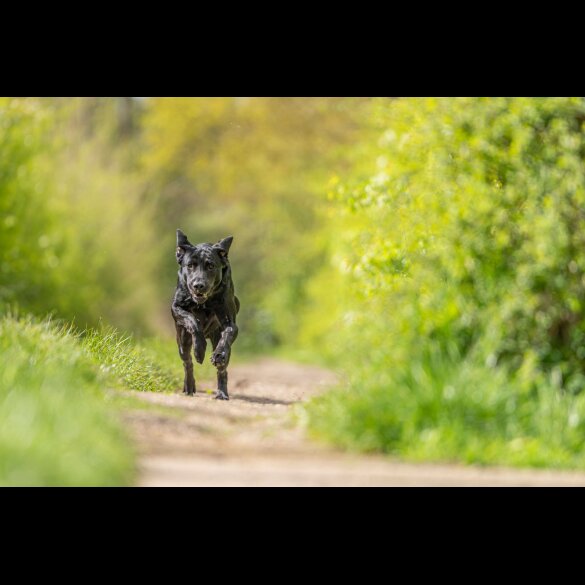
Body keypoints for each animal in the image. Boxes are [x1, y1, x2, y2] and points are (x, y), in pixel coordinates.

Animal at [171, 230, 240, 400]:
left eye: (211, 266)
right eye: (190, 265)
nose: (198, 285)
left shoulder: (230, 321)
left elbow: (229, 332)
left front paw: (219, 354)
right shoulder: (176, 307)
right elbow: (192, 321)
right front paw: (199, 350)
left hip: (218, 340)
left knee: (222, 370)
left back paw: (222, 393)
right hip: (182, 341)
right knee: (187, 363)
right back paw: (189, 387)